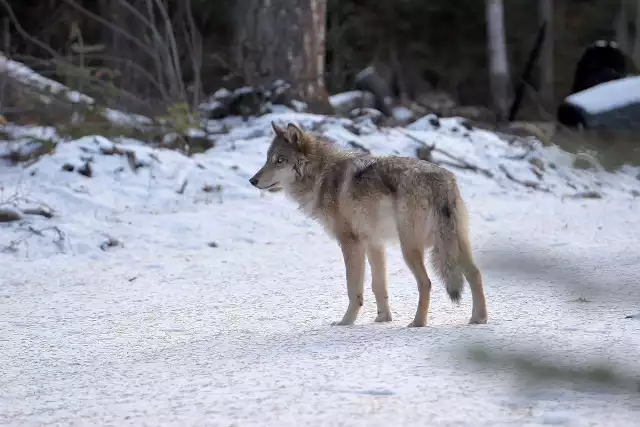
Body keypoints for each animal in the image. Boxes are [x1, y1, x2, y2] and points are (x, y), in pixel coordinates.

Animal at [248, 122, 488, 330]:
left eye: (280, 160)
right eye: (268, 159)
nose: (252, 180)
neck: (320, 176)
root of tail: (441, 181)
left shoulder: (350, 244)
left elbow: (354, 289)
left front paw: (345, 323)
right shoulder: (374, 244)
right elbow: (378, 286)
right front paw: (383, 319)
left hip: (410, 249)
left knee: (426, 283)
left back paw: (417, 323)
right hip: (454, 245)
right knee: (475, 274)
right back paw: (479, 319)